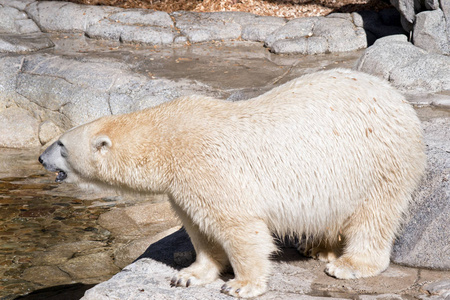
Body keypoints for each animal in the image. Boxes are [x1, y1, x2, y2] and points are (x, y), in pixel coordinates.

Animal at [38, 68, 426, 298]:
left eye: (61, 144)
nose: (40, 158)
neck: (168, 138)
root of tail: (397, 97)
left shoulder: (208, 167)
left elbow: (239, 228)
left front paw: (241, 285)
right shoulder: (182, 185)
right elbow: (199, 228)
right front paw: (188, 276)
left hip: (378, 161)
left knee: (375, 215)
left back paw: (348, 264)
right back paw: (318, 248)